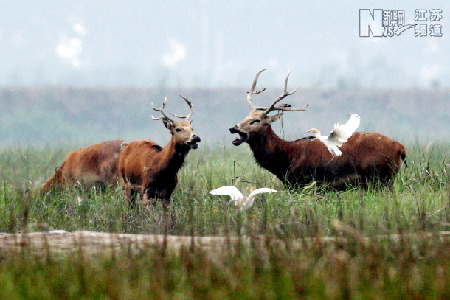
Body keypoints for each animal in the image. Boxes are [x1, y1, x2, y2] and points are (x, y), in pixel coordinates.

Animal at [230, 69, 406, 189]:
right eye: (245, 117)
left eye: (255, 120)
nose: (233, 127)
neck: (286, 160)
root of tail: (400, 148)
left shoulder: (307, 182)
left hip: (380, 178)